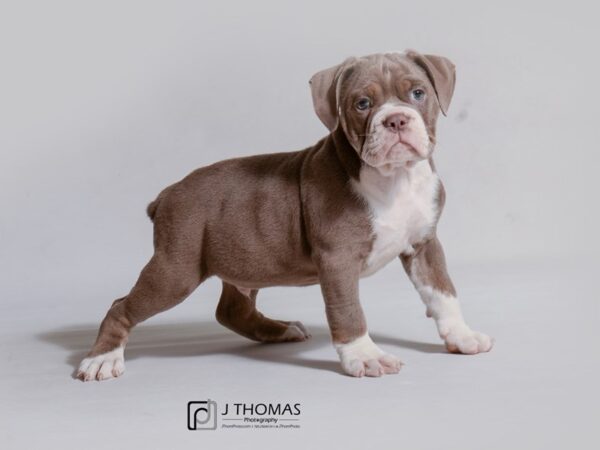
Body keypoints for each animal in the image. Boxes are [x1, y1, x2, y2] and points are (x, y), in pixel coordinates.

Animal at [78, 50, 492, 380]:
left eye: (418, 93)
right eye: (362, 103)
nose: (396, 120)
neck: (395, 179)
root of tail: (166, 195)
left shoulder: (424, 245)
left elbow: (443, 293)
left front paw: (462, 335)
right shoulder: (338, 259)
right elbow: (348, 310)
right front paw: (364, 356)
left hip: (243, 262)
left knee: (231, 310)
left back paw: (278, 331)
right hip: (175, 270)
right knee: (122, 306)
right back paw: (102, 359)